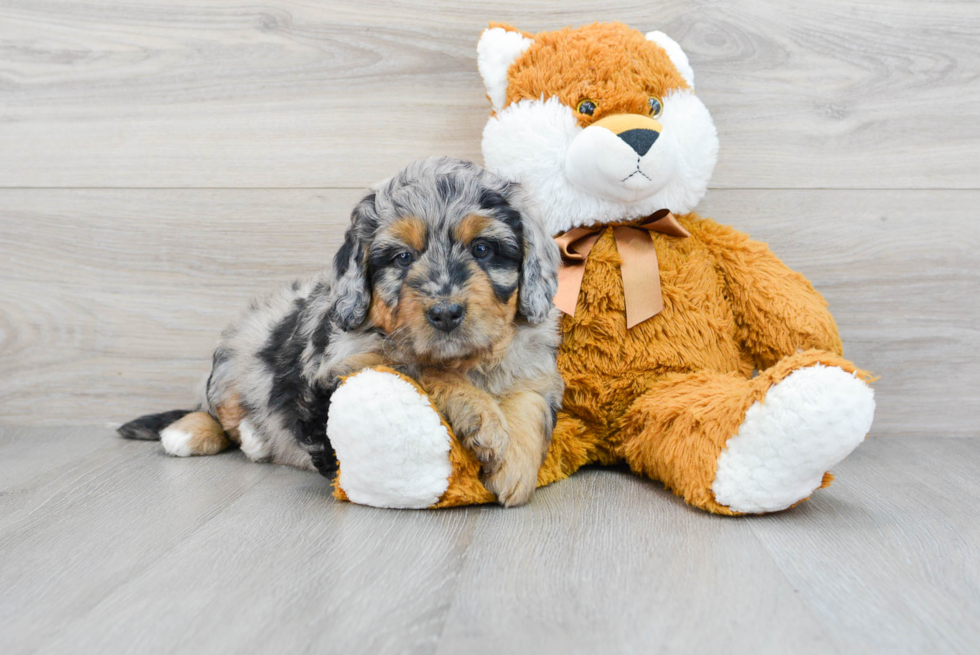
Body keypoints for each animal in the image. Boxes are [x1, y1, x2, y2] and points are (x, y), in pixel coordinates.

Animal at [121, 158, 564, 508]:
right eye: (402, 257)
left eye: (482, 250)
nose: (445, 313)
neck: (468, 359)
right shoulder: (342, 363)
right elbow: (416, 365)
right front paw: (484, 420)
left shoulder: (534, 364)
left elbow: (531, 402)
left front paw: (516, 465)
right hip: (238, 350)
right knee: (216, 409)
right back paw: (205, 433)